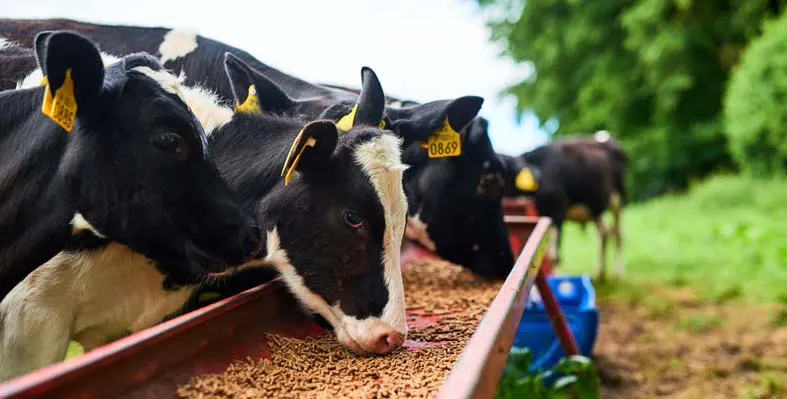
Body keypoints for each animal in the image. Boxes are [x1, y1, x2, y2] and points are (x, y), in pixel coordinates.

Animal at [504, 131, 628, 282]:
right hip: (596, 207)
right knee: (604, 233)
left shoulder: (557, 211)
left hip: (618, 201)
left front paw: (556, 278)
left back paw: (618, 272)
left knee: (618, 235)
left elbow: (554, 255)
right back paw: (600, 273)